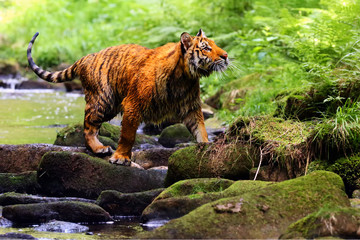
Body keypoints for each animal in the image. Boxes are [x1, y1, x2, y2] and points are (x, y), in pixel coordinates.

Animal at [27, 29, 228, 166]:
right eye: (207, 48)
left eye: (216, 45)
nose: (226, 56)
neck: (184, 76)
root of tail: (86, 57)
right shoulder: (133, 104)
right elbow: (128, 135)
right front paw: (121, 158)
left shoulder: (191, 107)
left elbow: (200, 128)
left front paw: (206, 146)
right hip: (103, 101)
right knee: (88, 126)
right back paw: (99, 148)